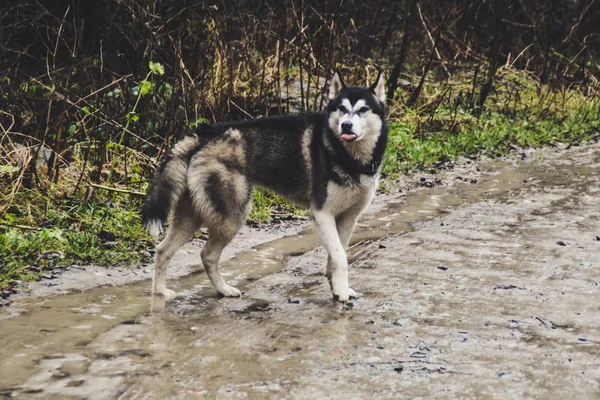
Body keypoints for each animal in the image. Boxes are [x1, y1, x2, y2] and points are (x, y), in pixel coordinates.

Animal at [144, 72, 390, 304]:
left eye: (363, 109)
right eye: (342, 108)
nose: (345, 125)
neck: (348, 157)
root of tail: (205, 132)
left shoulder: (349, 216)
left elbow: (337, 256)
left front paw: (337, 288)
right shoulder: (322, 213)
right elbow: (340, 257)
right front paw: (341, 293)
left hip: (192, 216)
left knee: (162, 250)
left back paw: (161, 293)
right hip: (233, 216)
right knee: (207, 254)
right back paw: (223, 289)